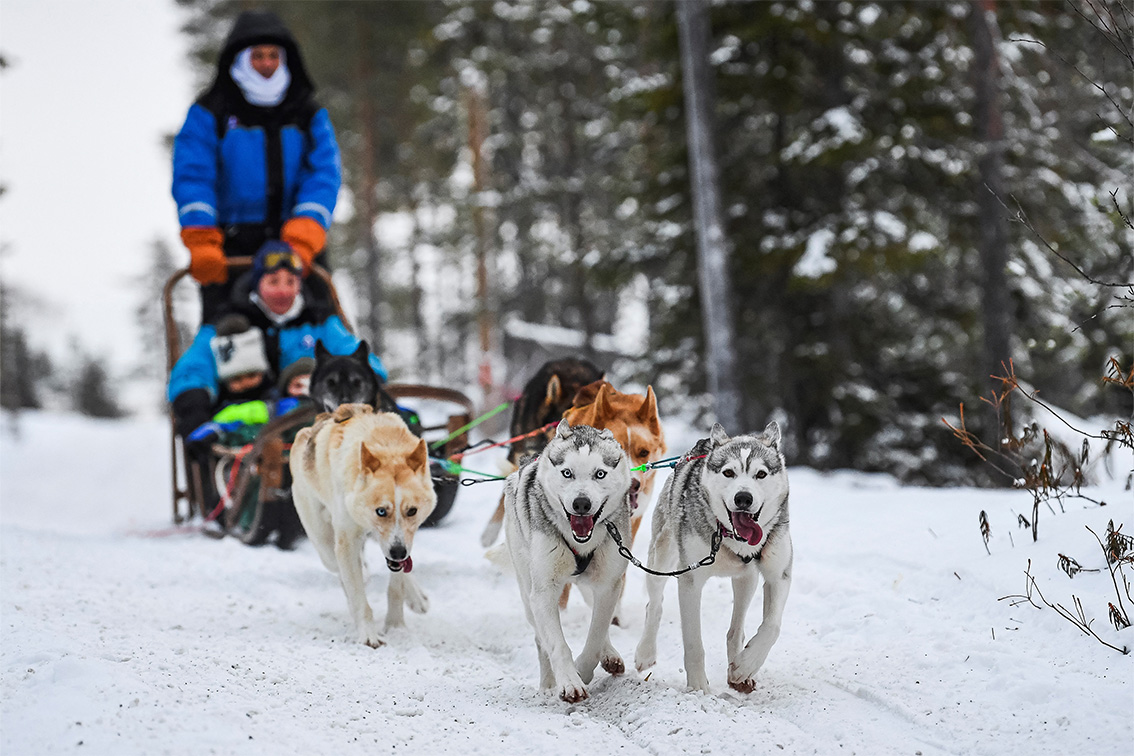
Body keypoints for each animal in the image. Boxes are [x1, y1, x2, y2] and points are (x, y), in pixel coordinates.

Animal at [290, 405, 435, 648]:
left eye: (412, 511)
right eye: (381, 511)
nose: (398, 551)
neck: (384, 444)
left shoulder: (404, 540)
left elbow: (396, 586)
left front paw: (396, 625)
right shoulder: (347, 542)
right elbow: (358, 595)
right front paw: (368, 633)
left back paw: (416, 596)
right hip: (326, 545)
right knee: (342, 571)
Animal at [635, 423, 793, 693]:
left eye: (761, 474)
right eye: (728, 472)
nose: (743, 498)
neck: (729, 537)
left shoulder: (778, 575)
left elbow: (772, 627)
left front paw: (746, 665)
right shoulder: (689, 581)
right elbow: (693, 643)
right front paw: (698, 688)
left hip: (746, 581)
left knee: (736, 630)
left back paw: (738, 668)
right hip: (661, 559)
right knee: (653, 605)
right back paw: (645, 653)